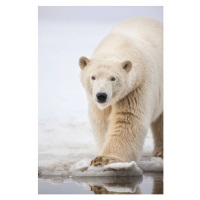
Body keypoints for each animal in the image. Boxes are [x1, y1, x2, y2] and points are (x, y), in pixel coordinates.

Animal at [78, 17, 162, 166]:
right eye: (93, 77)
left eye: (113, 78)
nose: (101, 95)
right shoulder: (95, 101)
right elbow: (102, 122)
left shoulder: (137, 87)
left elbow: (127, 119)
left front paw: (105, 159)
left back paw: (160, 152)